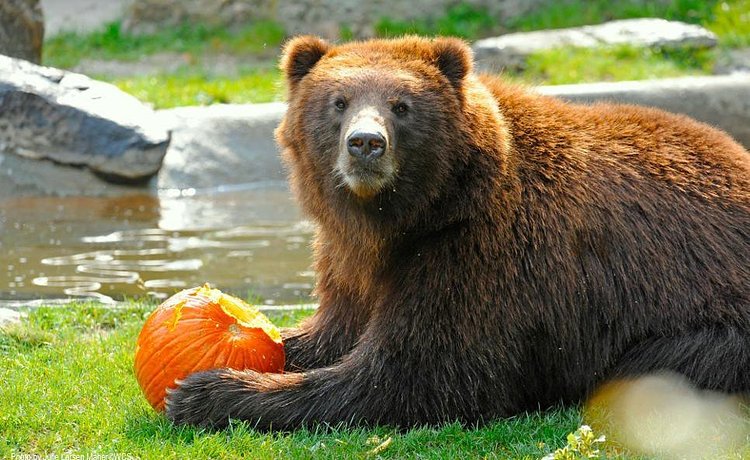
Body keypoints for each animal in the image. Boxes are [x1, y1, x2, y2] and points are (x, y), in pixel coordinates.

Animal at [166, 36, 750, 430]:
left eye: (401, 106)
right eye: (338, 102)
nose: (365, 144)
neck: (411, 217)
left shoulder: (480, 255)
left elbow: (413, 374)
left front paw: (203, 393)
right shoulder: (349, 258)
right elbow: (331, 330)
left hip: (712, 323)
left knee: (652, 367)